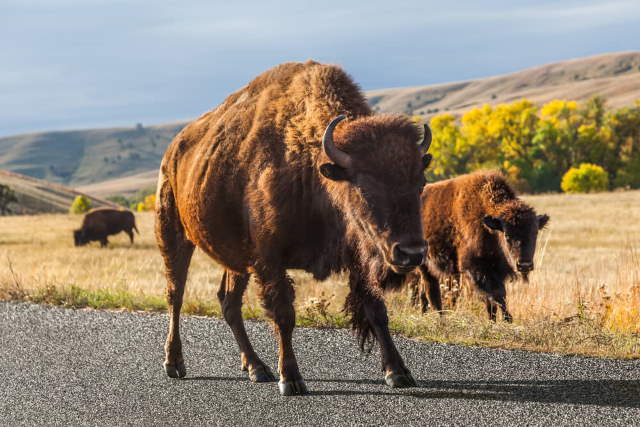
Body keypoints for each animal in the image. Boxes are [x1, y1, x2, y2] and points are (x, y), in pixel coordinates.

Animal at [157, 61, 432, 398]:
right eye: (364, 188)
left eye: (420, 184)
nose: (412, 252)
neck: (316, 173)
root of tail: (174, 150)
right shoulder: (270, 260)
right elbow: (284, 315)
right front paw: (290, 379)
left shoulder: (357, 260)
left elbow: (376, 310)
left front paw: (398, 372)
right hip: (173, 234)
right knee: (175, 294)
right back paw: (175, 363)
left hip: (236, 259)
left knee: (228, 302)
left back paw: (256, 367)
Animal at [410, 172, 552, 322]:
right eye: (507, 235)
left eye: (535, 233)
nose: (524, 265)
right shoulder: (476, 269)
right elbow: (495, 295)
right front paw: (507, 319)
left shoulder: (497, 270)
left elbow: (496, 298)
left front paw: (495, 320)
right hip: (425, 264)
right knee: (431, 289)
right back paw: (440, 316)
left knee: (424, 291)